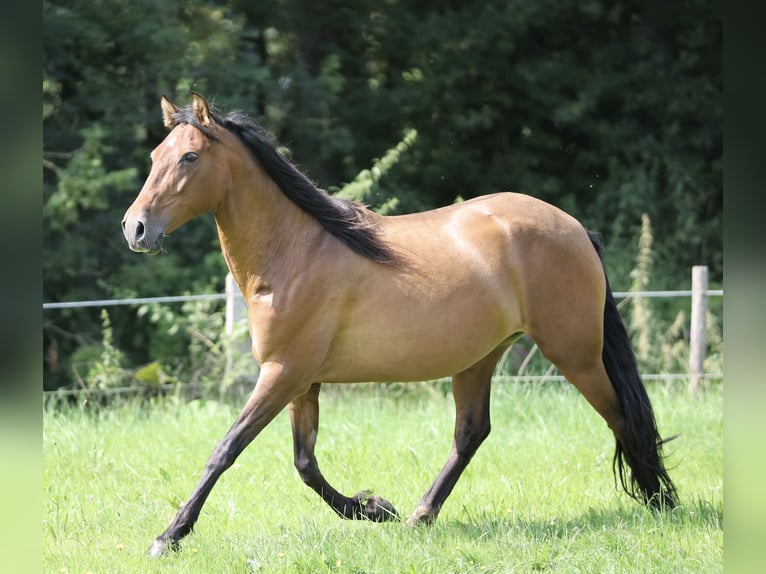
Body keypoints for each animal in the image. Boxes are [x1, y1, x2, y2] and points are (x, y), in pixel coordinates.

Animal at [122, 93, 677, 557]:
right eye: (155, 156)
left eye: (190, 158)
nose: (136, 228)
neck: (293, 253)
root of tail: (576, 228)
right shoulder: (302, 381)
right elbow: (306, 464)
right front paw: (374, 509)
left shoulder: (282, 374)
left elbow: (225, 451)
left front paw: (169, 537)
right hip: (479, 357)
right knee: (471, 433)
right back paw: (419, 515)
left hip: (574, 354)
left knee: (623, 417)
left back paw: (661, 504)